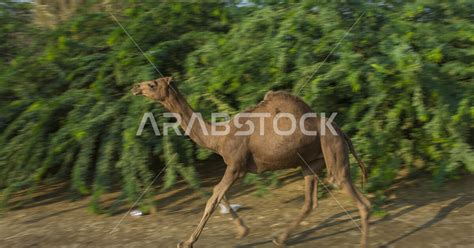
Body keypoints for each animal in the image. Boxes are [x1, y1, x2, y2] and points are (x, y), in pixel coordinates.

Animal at [131, 76, 372, 247]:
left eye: (152, 84)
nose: (135, 87)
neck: (218, 138)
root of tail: (342, 132)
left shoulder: (235, 165)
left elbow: (213, 197)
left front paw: (186, 242)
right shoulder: (239, 168)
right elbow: (218, 194)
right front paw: (242, 230)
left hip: (333, 150)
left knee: (357, 198)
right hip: (312, 162)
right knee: (311, 201)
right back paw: (280, 238)